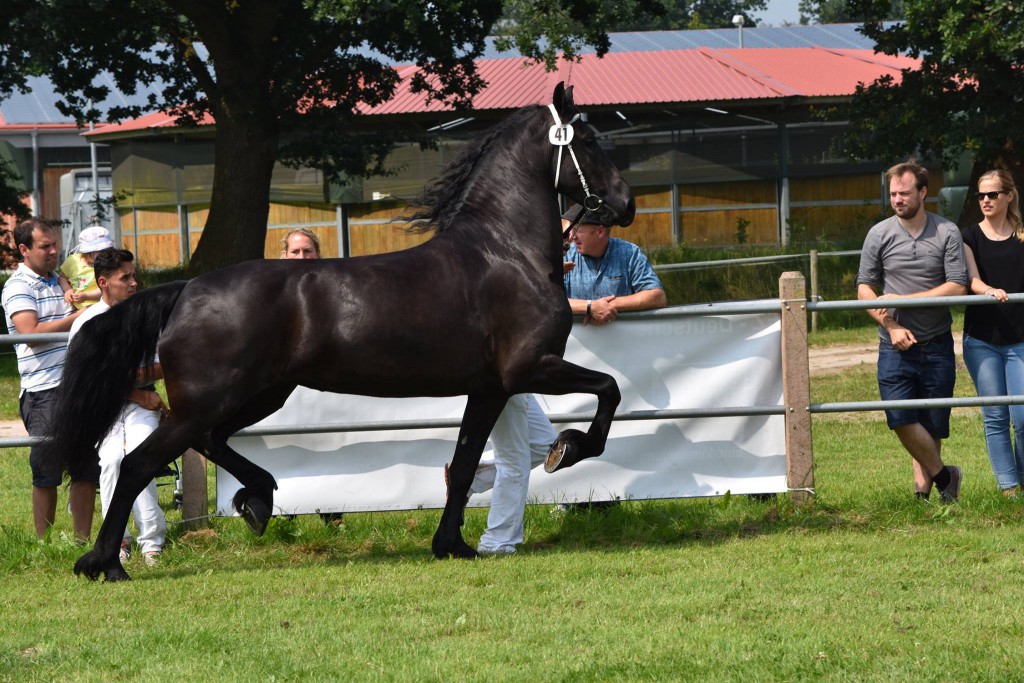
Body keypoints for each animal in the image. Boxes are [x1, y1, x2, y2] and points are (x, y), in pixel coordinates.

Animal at [51, 82, 634, 581]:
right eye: (586, 141)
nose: (625, 204)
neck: (505, 252)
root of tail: (186, 290)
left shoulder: (489, 388)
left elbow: (466, 464)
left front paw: (451, 545)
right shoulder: (531, 369)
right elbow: (609, 390)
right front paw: (569, 448)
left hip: (261, 394)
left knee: (209, 443)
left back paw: (257, 500)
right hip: (212, 401)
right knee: (138, 465)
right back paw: (104, 563)